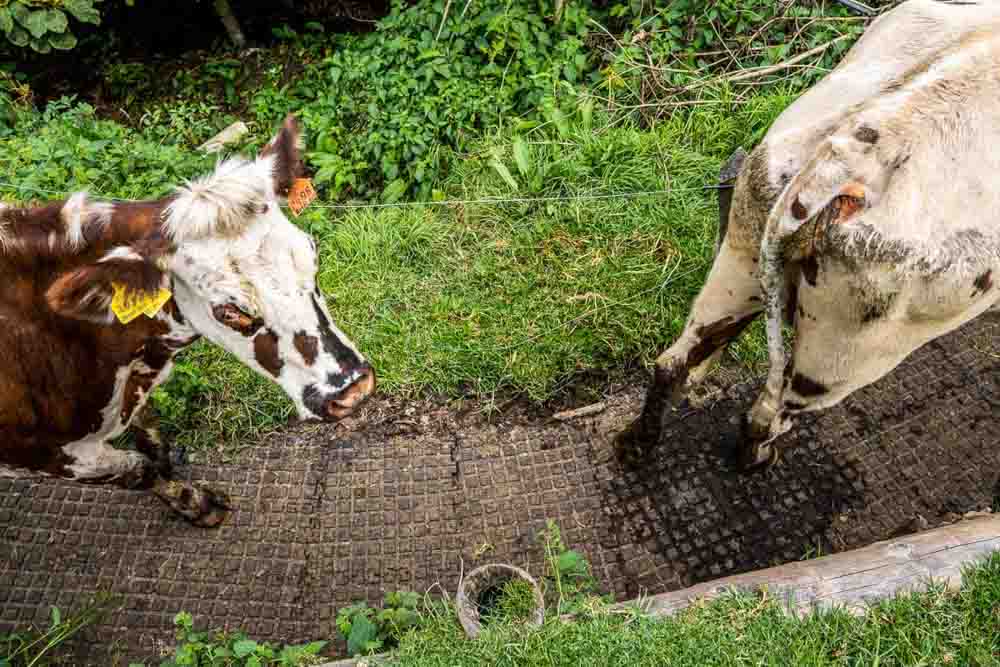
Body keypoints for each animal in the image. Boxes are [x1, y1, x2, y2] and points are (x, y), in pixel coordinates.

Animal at [0, 117, 376, 528]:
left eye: (313, 255)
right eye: (229, 311)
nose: (353, 389)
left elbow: (152, 440)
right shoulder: (46, 453)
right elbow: (138, 468)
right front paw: (195, 503)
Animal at [620, 0, 1000, 470]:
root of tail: (848, 154)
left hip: (743, 253)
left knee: (676, 361)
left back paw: (635, 446)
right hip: (845, 353)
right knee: (768, 413)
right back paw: (756, 458)